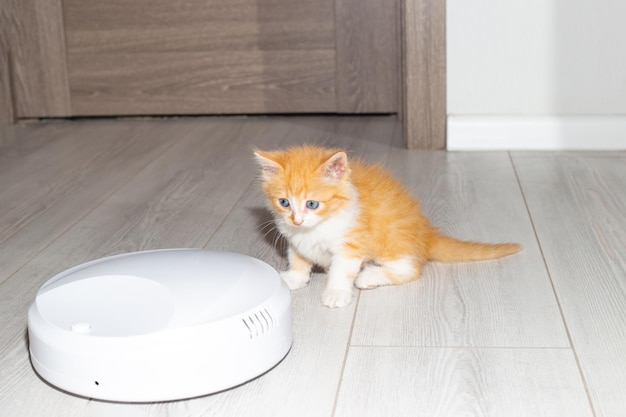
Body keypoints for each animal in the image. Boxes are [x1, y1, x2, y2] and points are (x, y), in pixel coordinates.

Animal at [251, 145, 520, 308]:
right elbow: (298, 259)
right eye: (284, 202)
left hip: (391, 240)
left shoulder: (351, 243)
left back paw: (369, 275)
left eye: (312, 204)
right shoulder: (295, 240)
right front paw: (294, 278)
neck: (316, 228)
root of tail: (426, 232)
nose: (296, 220)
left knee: (411, 268)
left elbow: (341, 270)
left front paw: (336, 292)